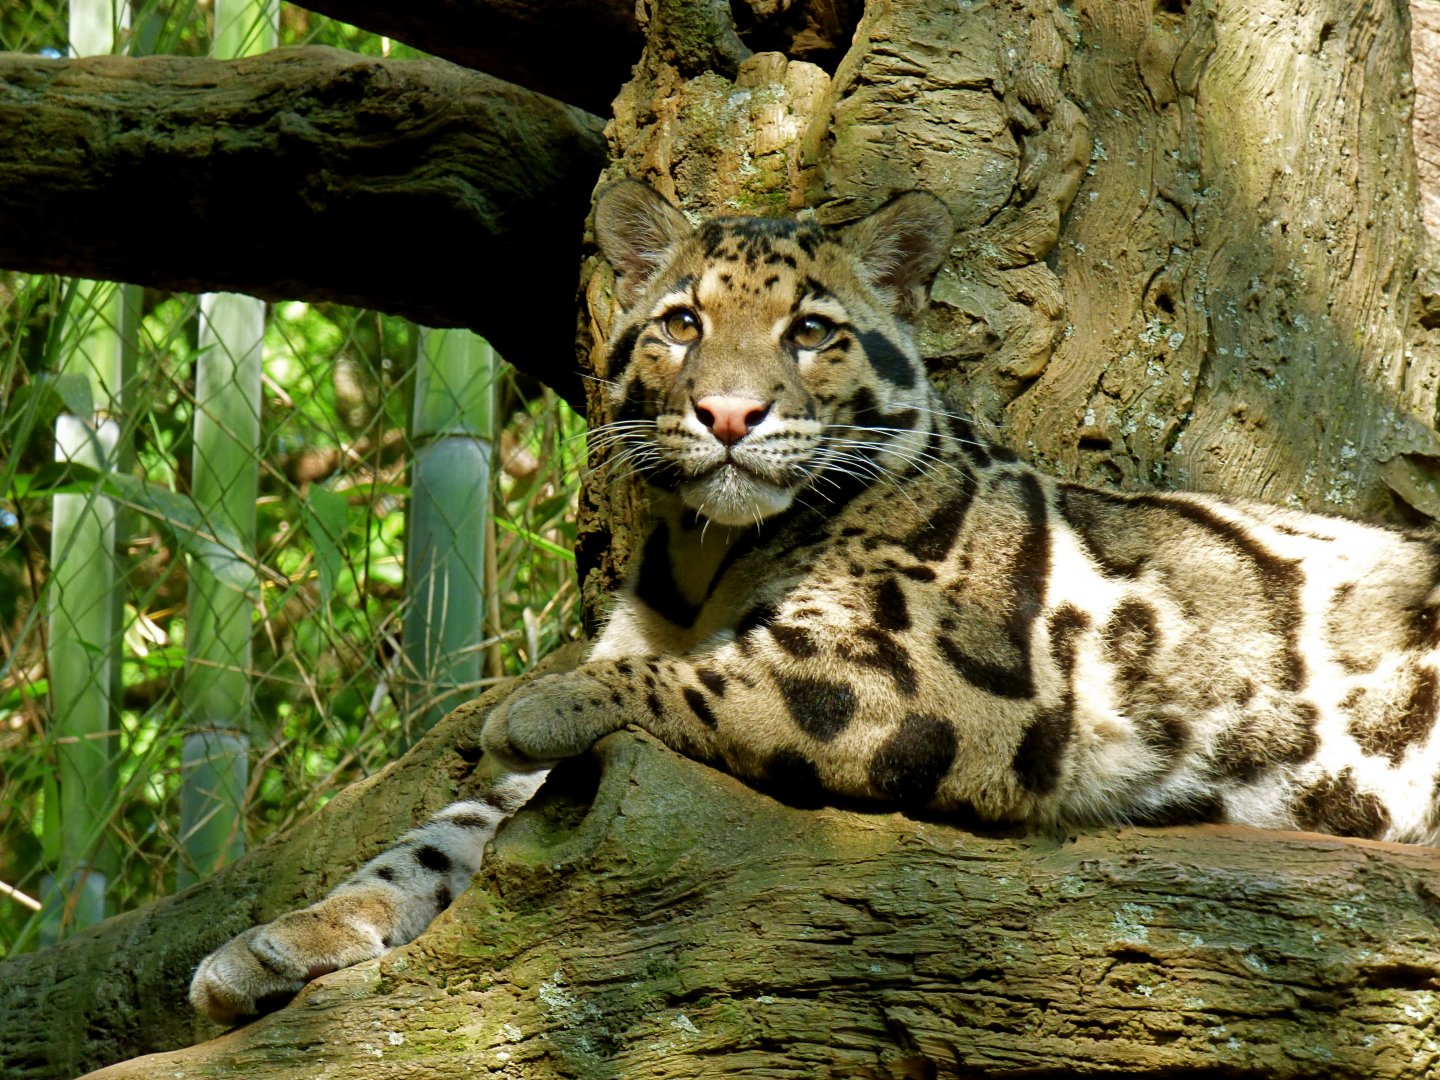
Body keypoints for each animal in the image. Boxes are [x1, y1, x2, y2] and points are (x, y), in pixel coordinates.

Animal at [190, 178, 1440, 1024]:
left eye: (811, 331)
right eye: (683, 321)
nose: (730, 416)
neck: (703, 552)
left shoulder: (945, 678)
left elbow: (692, 678)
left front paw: (536, 706)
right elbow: (438, 835)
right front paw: (279, 942)